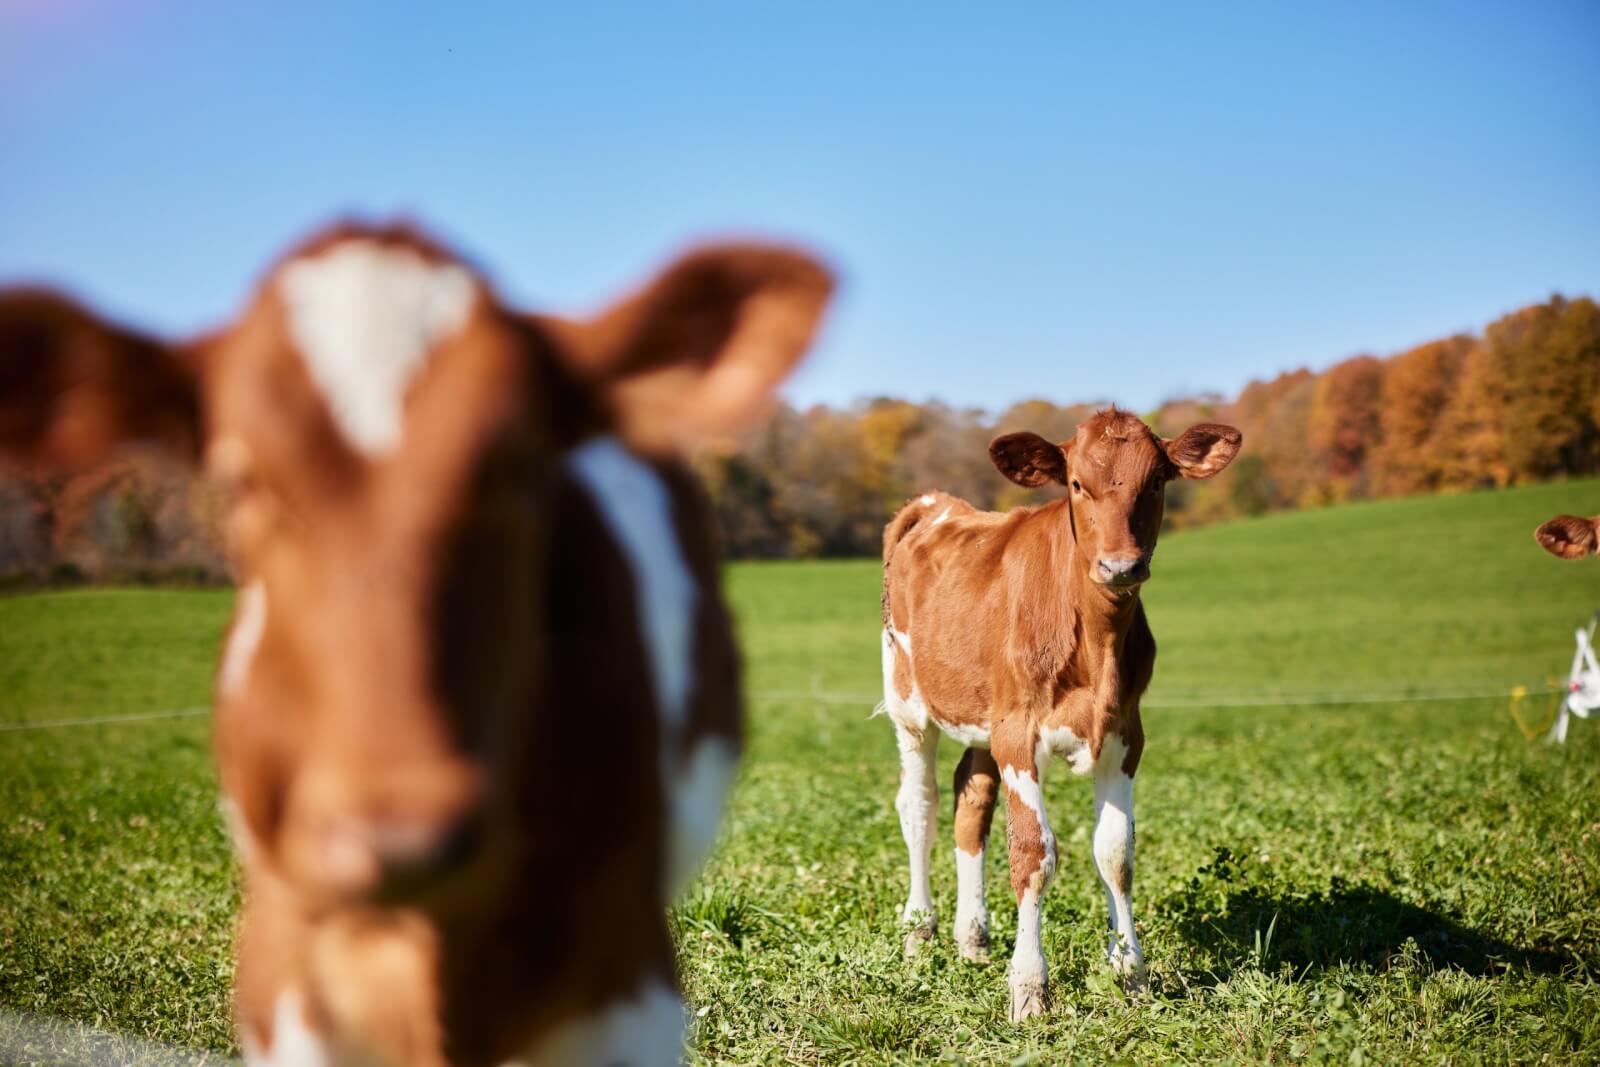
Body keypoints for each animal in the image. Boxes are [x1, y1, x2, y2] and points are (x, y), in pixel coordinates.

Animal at [877, 408, 1241, 1020]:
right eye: (1075, 484)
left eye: (1157, 481)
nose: (1121, 565)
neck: (1095, 643)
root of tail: (936, 503)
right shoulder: (1018, 734)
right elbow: (1032, 853)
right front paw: (1029, 988)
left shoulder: (1124, 735)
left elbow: (1116, 853)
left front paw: (1132, 975)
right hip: (909, 703)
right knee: (919, 806)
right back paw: (919, 933)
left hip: (983, 719)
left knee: (970, 802)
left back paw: (972, 939)